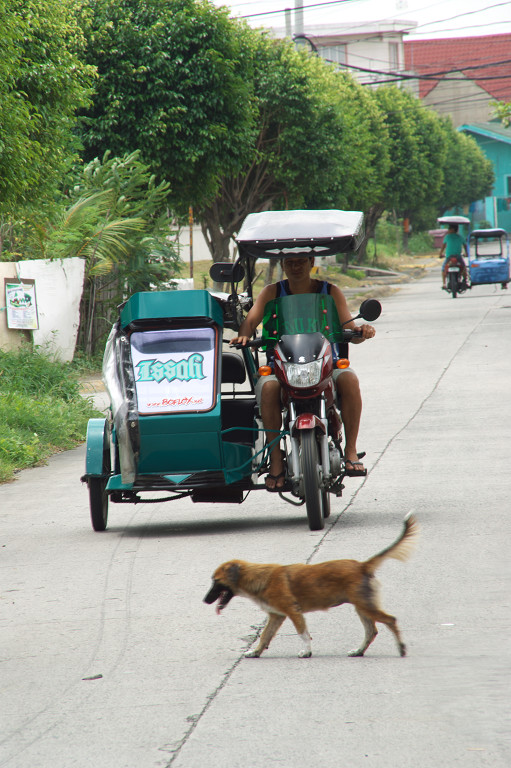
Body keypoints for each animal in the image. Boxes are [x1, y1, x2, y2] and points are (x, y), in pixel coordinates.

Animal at [204, 512, 420, 656]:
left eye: (216, 581)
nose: (205, 600)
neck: (257, 577)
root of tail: (362, 565)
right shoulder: (276, 616)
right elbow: (265, 635)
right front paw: (256, 652)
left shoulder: (293, 612)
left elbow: (303, 633)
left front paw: (306, 652)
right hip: (361, 606)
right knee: (371, 631)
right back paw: (359, 651)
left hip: (365, 605)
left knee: (390, 620)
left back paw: (401, 648)